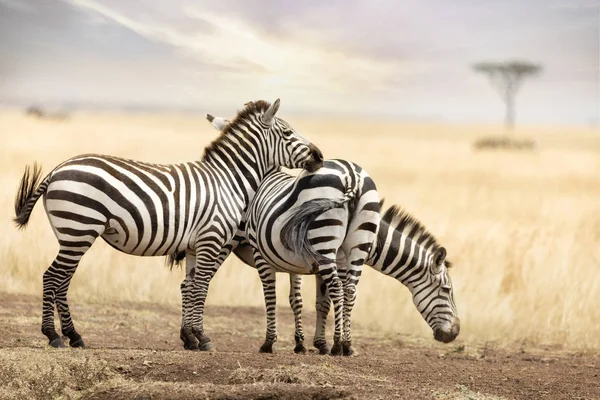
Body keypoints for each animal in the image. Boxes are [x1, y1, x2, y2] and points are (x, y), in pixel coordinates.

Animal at [12, 99, 324, 350]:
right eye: (288, 133)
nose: (320, 156)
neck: (228, 180)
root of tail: (57, 169)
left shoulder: (196, 246)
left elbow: (192, 285)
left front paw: (191, 337)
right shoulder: (212, 239)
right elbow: (201, 287)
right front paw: (202, 338)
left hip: (72, 234)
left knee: (61, 279)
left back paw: (73, 336)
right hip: (79, 229)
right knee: (52, 277)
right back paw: (54, 335)